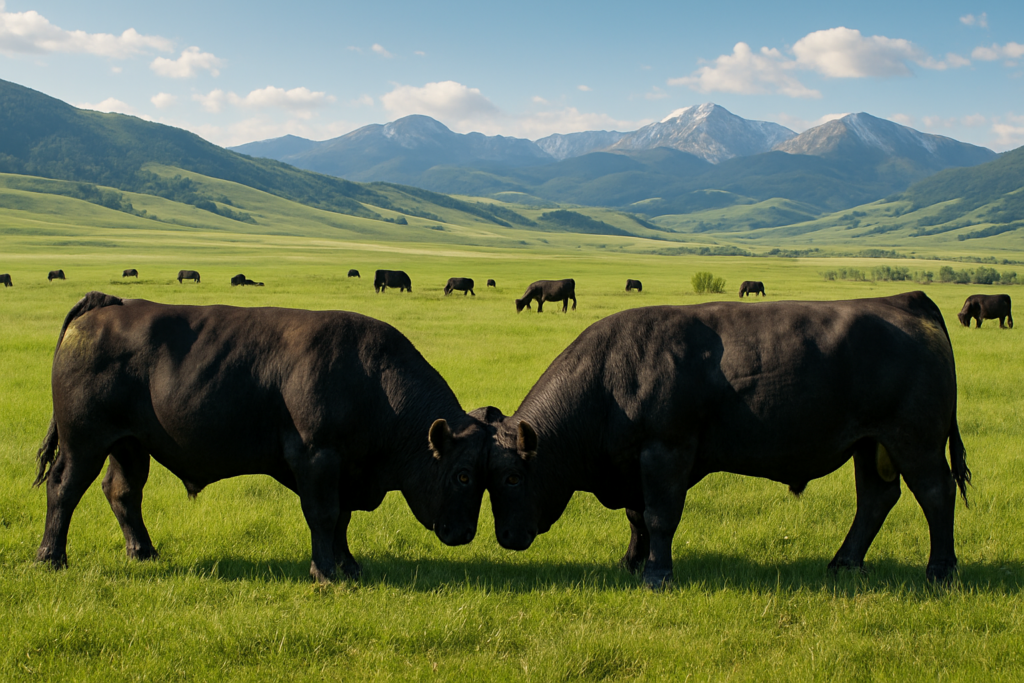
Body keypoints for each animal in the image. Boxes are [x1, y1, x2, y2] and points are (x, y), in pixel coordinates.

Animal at [32, 292, 490, 583]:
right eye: (463, 475)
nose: (466, 532)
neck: (372, 377)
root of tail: (108, 304)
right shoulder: (316, 458)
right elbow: (324, 515)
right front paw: (325, 573)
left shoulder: (341, 470)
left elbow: (341, 518)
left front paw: (349, 566)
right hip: (84, 444)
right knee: (63, 488)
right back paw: (50, 559)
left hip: (128, 446)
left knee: (122, 492)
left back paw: (144, 552)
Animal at [478, 292, 969, 587]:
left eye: (512, 479)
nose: (506, 536)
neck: (608, 377)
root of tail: (904, 300)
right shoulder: (635, 465)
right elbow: (637, 518)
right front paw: (631, 561)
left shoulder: (666, 451)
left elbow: (658, 517)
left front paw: (656, 573)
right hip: (871, 445)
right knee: (875, 499)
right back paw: (844, 562)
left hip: (915, 441)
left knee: (936, 493)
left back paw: (940, 569)